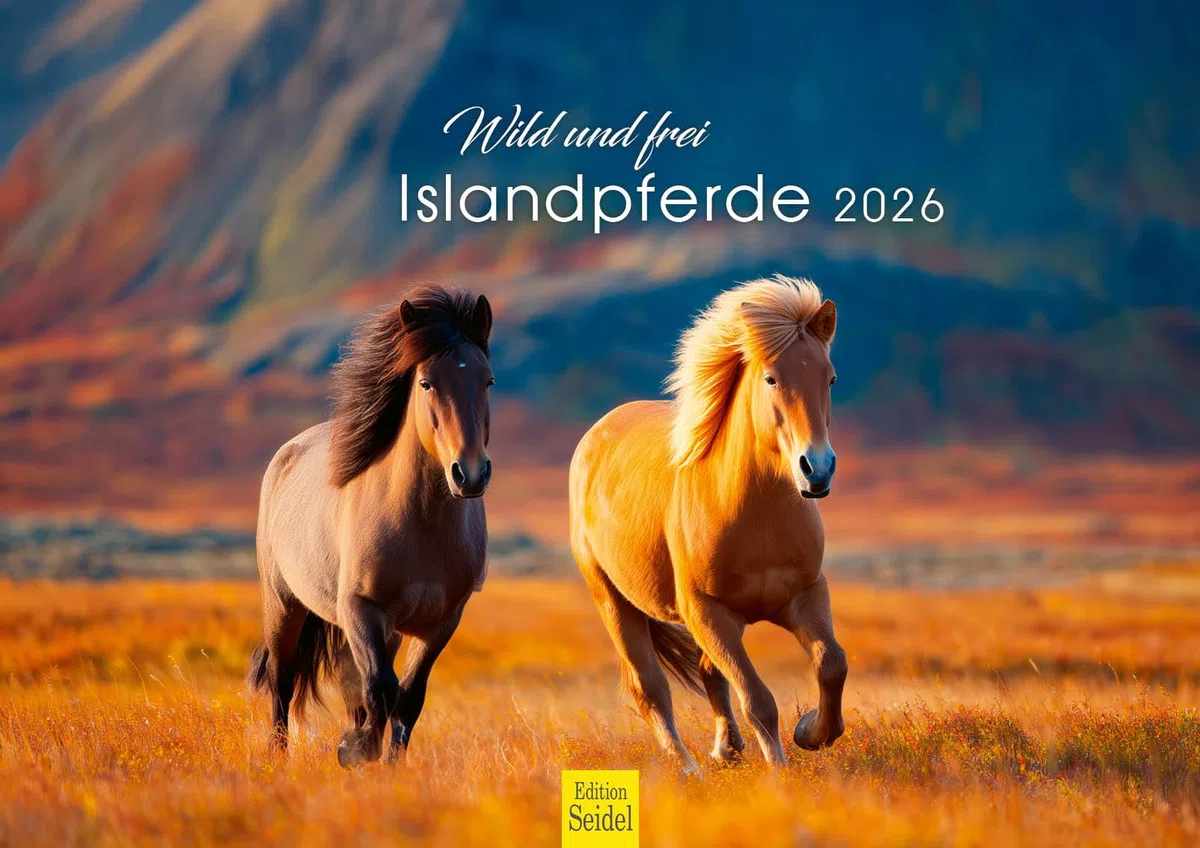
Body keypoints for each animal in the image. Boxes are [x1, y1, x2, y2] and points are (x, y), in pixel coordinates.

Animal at [248, 284, 495, 767]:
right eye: (426, 383)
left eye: (488, 381)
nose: (470, 474)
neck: (422, 529)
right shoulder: (361, 609)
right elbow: (380, 689)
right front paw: (355, 750)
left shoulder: (441, 621)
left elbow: (407, 697)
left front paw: (387, 762)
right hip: (283, 604)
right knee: (283, 681)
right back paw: (278, 755)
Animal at [568, 274, 846, 772]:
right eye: (771, 378)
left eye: (829, 377)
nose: (817, 469)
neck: (756, 519)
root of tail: (598, 431)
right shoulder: (709, 614)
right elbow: (758, 699)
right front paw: (780, 771)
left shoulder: (806, 595)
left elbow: (831, 663)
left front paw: (812, 732)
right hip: (613, 601)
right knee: (651, 688)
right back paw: (688, 768)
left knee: (706, 674)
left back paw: (725, 748)